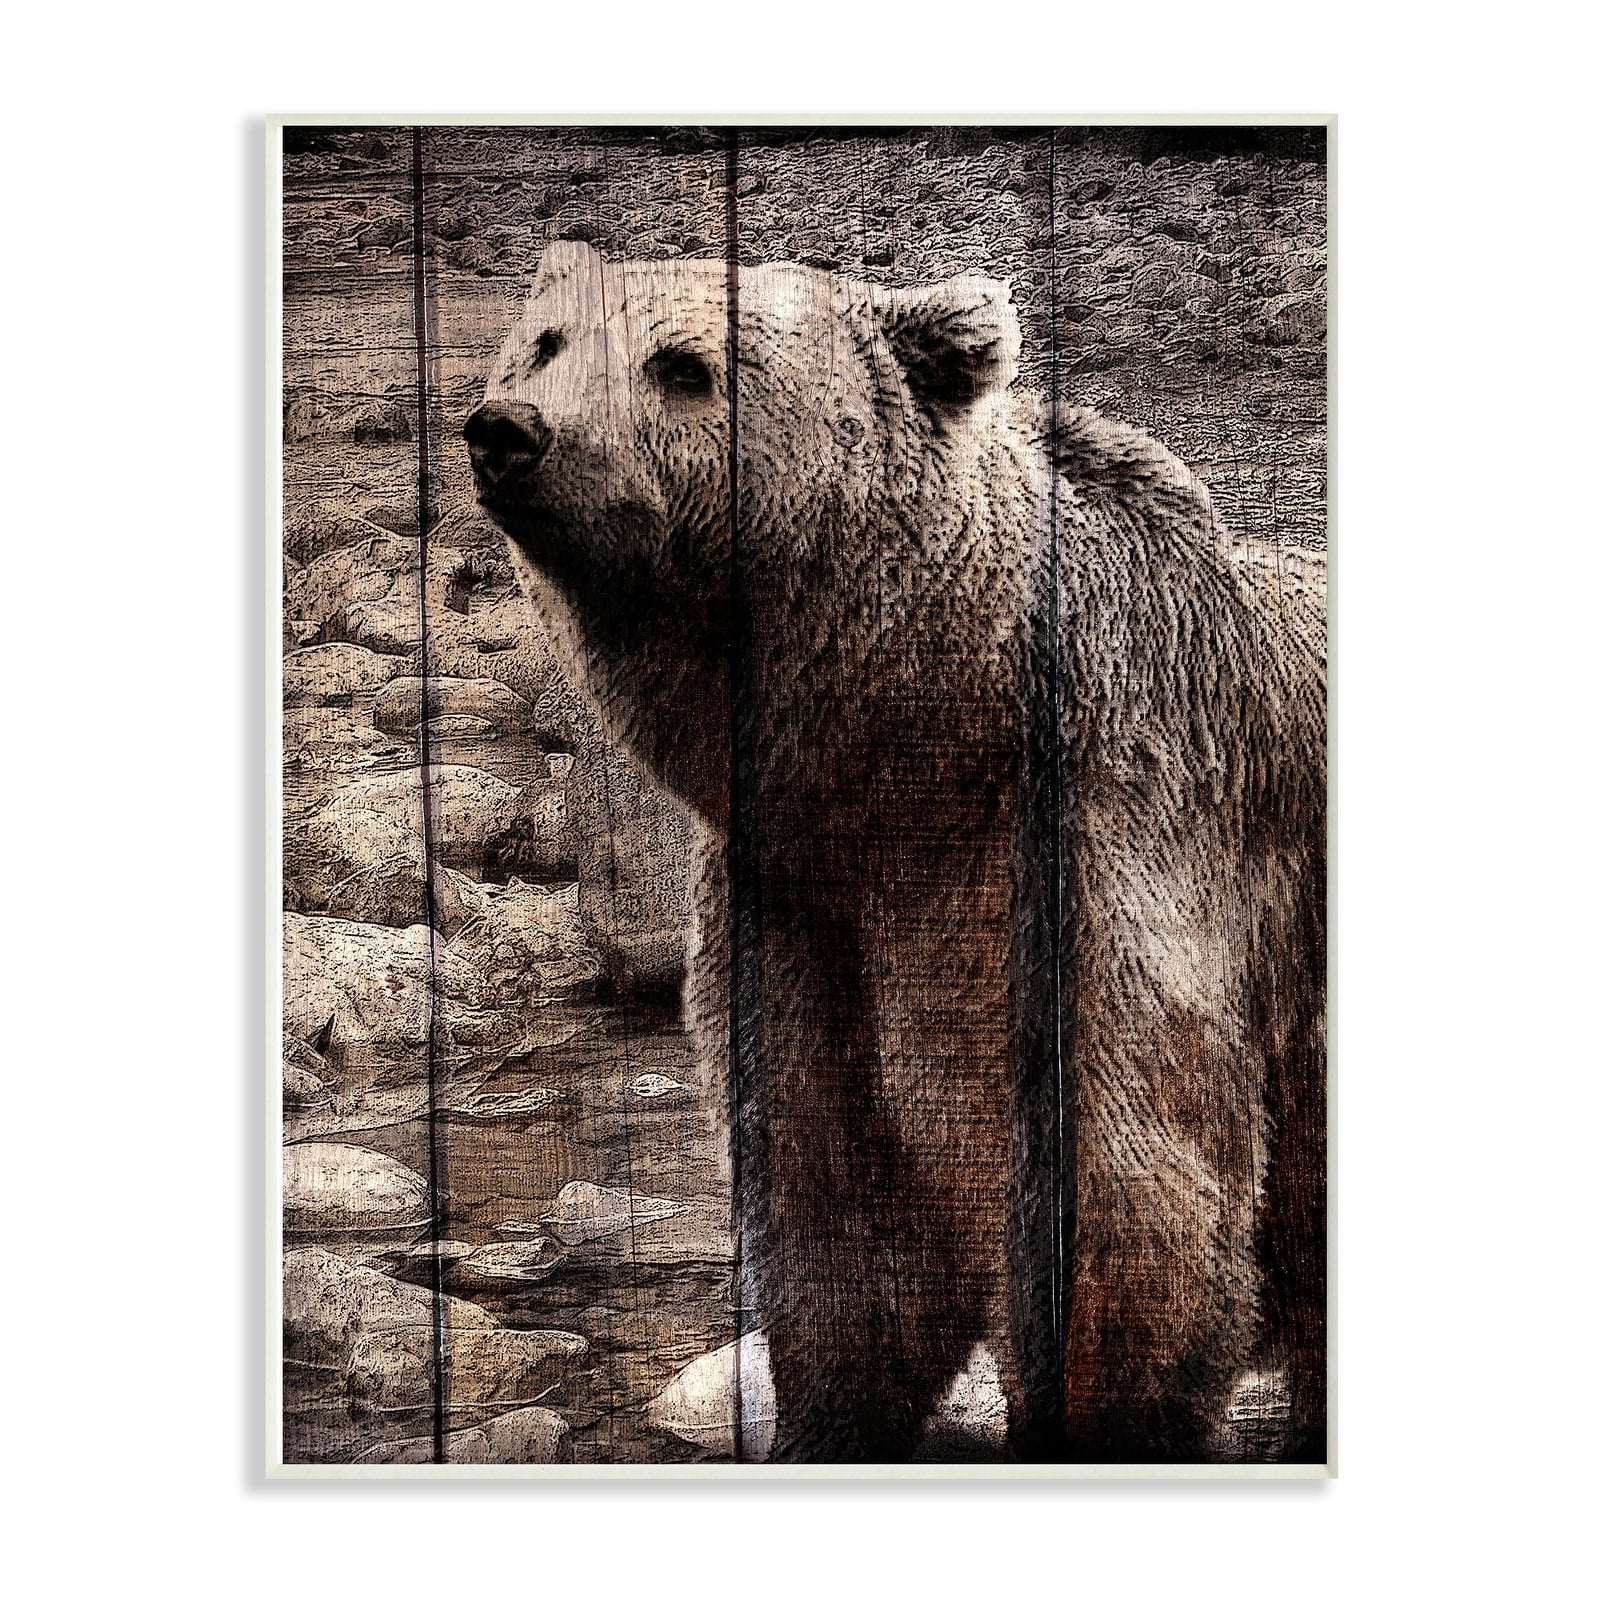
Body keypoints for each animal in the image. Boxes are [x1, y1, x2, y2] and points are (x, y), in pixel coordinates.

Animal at [464, 238, 1325, 1464]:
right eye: (545, 342)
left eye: (680, 364)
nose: (509, 430)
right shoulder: (801, 900)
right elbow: (834, 1182)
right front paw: (827, 1415)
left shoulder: (1092, 843)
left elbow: (1125, 1181)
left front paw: (1096, 1417)